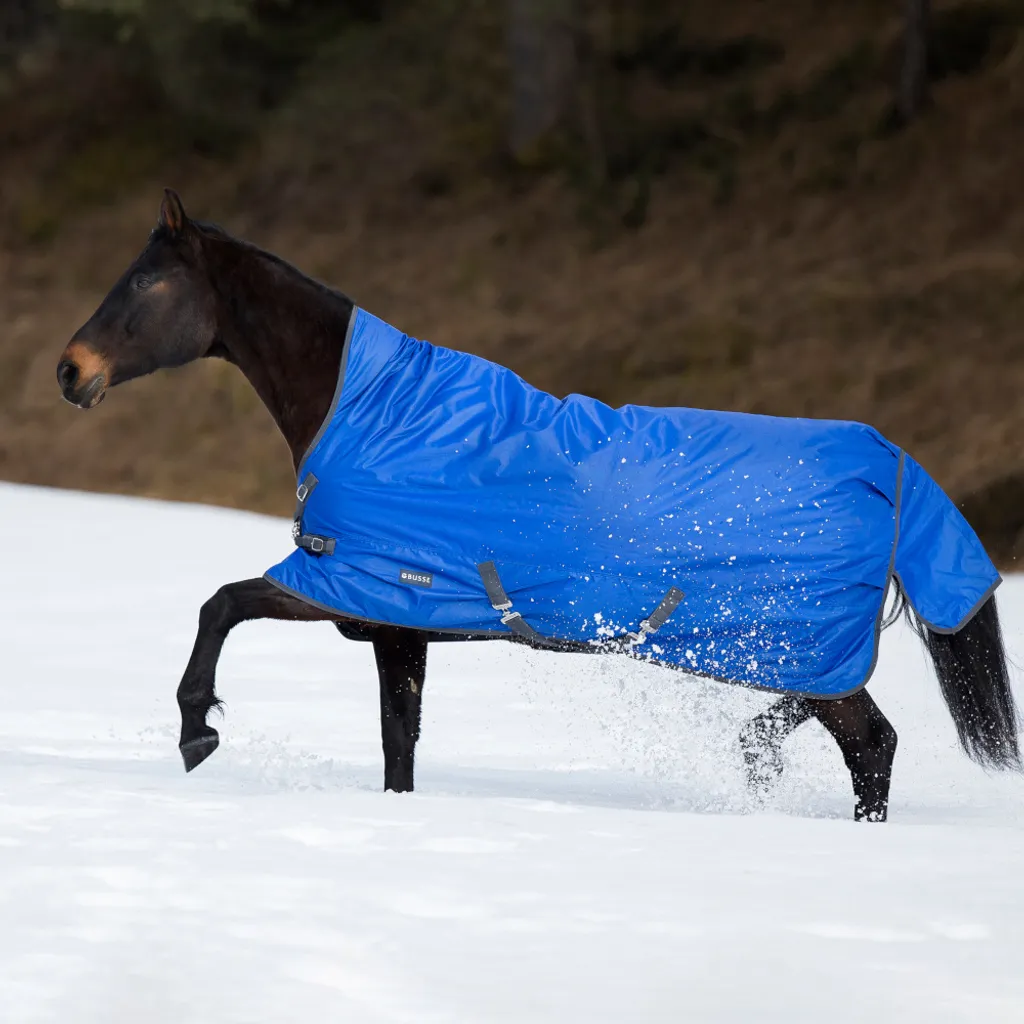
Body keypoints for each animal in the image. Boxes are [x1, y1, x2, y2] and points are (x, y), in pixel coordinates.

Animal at [56, 190, 1021, 821]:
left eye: (145, 285)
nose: (71, 371)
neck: (377, 414)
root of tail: (889, 465)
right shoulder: (398, 625)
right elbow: (399, 747)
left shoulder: (354, 582)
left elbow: (219, 605)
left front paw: (195, 732)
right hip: (800, 651)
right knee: (838, 731)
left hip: (802, 645)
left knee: (873, 746)